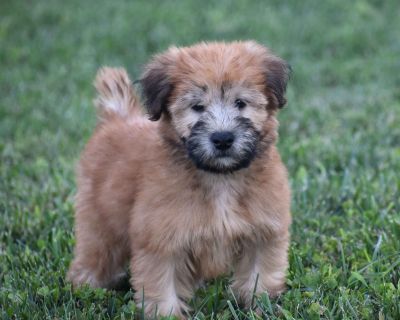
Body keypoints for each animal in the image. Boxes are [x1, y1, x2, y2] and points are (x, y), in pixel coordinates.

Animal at [68, 40, 290, 318]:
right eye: (197, 107)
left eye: (240, 103)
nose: (223, 139)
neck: (220, 178)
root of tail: (117, 119)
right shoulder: (161, 241)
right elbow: (162, 284)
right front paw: (166, 313)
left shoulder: (263, 233)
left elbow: (259, 276)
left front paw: (261, 307)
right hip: (99, 221)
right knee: (95, 253)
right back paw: (85, 286)